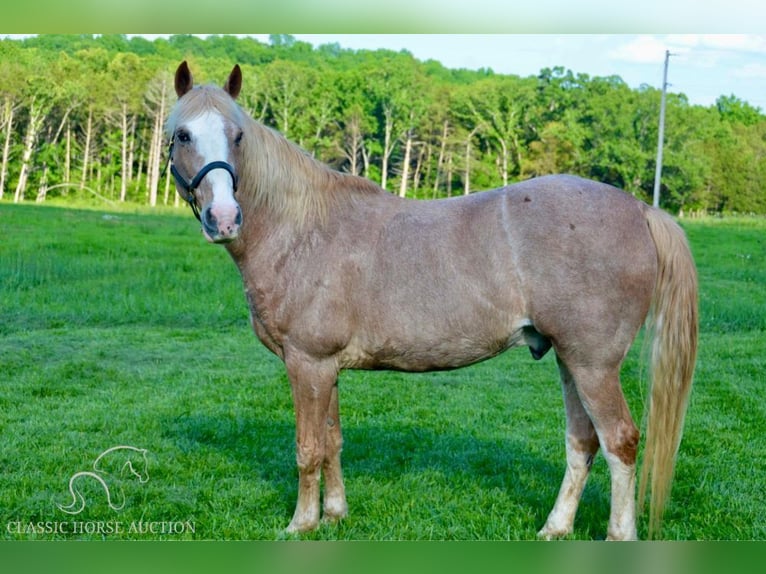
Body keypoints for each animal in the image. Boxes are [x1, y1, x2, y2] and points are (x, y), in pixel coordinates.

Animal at [165, 63, 700, 544]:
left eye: (237, 136)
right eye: (183, 135)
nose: (224, 218)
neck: (302, 229)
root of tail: (641, 209)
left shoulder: (307, 364)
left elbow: (308, 447)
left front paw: (302, 524)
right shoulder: (326, 367)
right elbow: (333, 441)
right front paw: (335, 515)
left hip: (594, 366)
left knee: (620, 442)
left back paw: (617, 535)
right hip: (571, 361)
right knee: (582, 443)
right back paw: (555, 528)